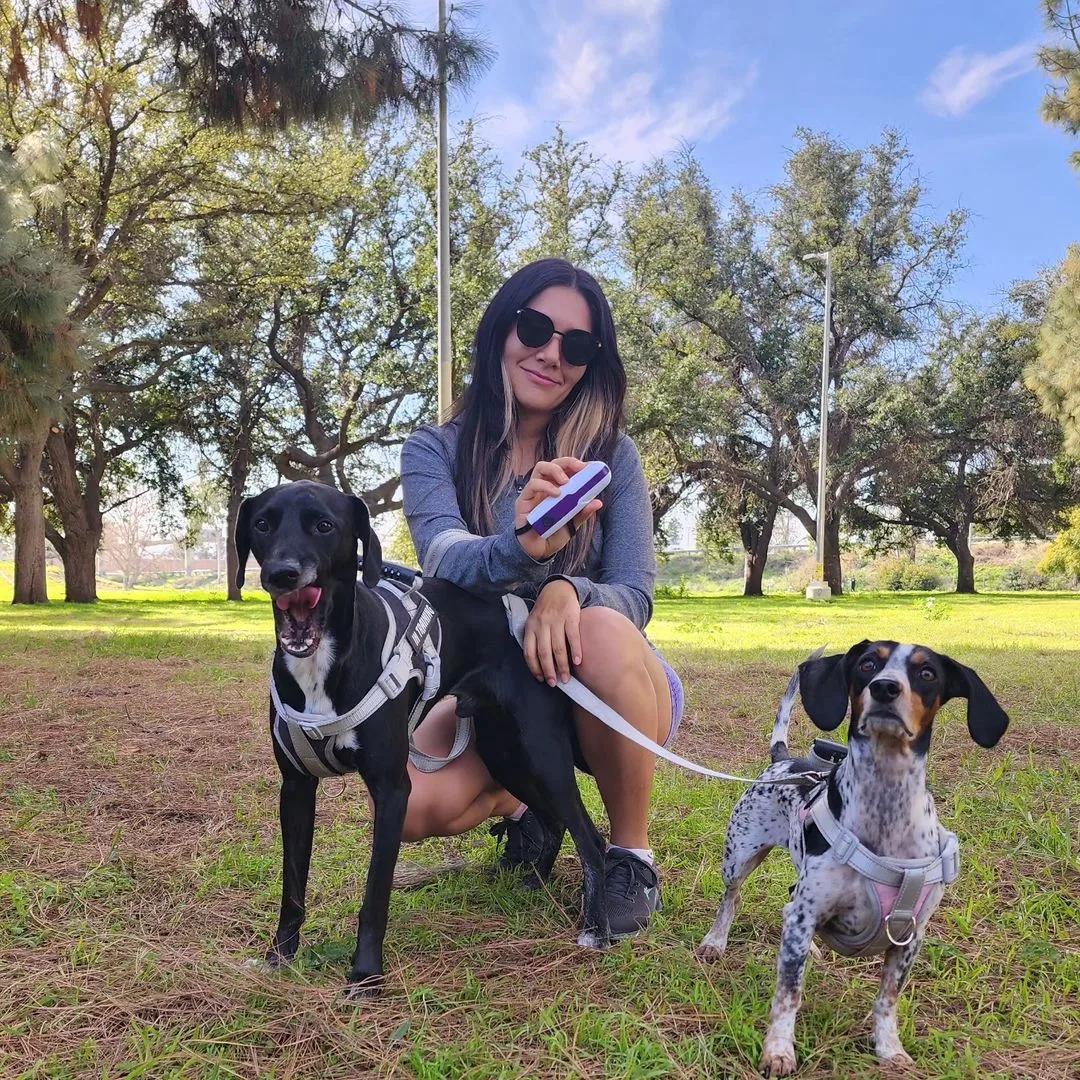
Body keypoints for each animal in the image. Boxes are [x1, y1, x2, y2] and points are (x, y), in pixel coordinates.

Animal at [235, 481, 610, 994]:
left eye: (324, 525)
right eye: (262, 524)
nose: (281, 574)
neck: (323, 663)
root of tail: (527, 612)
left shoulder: (393, 791)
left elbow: (375, 895)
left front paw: (365, 976)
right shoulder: (294, 788)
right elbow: (292, 886)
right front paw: (280, 956)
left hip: (541, 751)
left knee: (590, 837)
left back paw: (596, 927)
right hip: (506, 753)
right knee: (553, 823)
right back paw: (534, 884)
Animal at [697, 641, 1010, 1076]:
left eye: (927, 673)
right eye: (867, 664)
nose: (885, 688)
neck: (886, 808)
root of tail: (783, 759)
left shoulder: (909, 938)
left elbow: (888, 999)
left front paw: (889, 1048)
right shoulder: (806, 914)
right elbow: (789, 993)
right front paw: (779, 1049)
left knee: (787, 905)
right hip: (739, 858)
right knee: (733, 898)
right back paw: (716, 941)